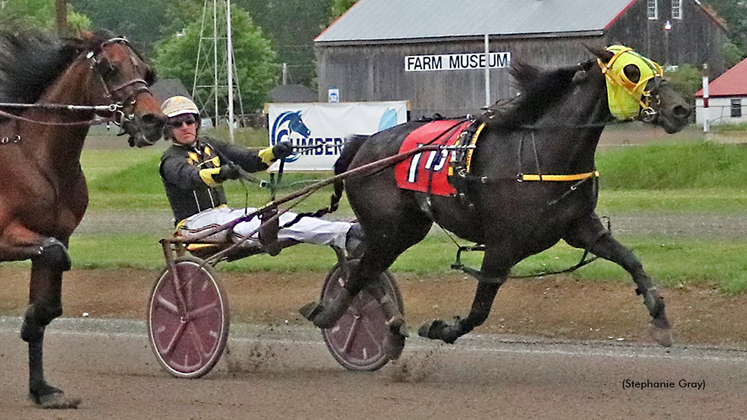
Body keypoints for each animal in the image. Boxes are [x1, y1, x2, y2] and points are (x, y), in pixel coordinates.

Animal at [0, 28, 165, 406]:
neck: (35, 157)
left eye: (146, 71)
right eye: (108, 68)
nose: (153, 120)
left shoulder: (53, 236)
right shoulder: (5, 236)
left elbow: (45, 308)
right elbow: (56, 257)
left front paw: (42, 390)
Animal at [302, 46, 688, 360]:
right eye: (632, 71)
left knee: (361, 262)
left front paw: (660, 318)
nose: (681, 109)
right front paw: (440, 329)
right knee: (361, 269)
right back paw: (334, 317)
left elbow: (631, 260)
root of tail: (363, 144)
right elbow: (479, 310)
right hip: (389, 228)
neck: (541, 154)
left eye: (654, 67)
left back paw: (387, 327)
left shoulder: (580, 227)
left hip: (405, 227)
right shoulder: (502, 244)